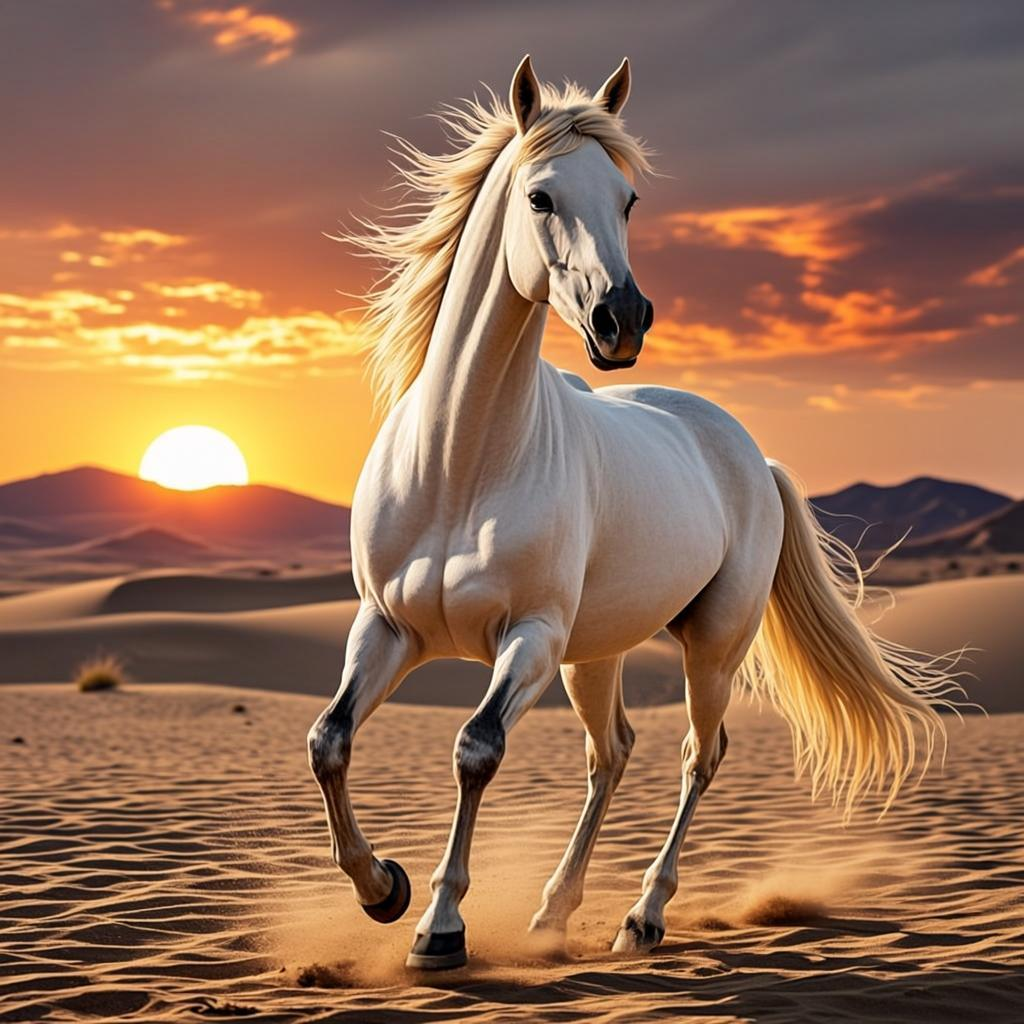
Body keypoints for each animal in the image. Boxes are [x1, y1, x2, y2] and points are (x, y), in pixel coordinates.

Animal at [308, 55, 962, 971]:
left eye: (628, 200)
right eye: (540, 196)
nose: (623, 320)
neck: (461, 463)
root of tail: (752, 457)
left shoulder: (530, 638)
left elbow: (475, 748)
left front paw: (439, 926)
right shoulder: (388, 627)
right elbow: (329, 739)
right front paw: (382, 889)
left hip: (711, 645)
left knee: (699, 755)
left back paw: (642, 916)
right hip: (597, 654)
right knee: (611, 752)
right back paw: (552, 913)